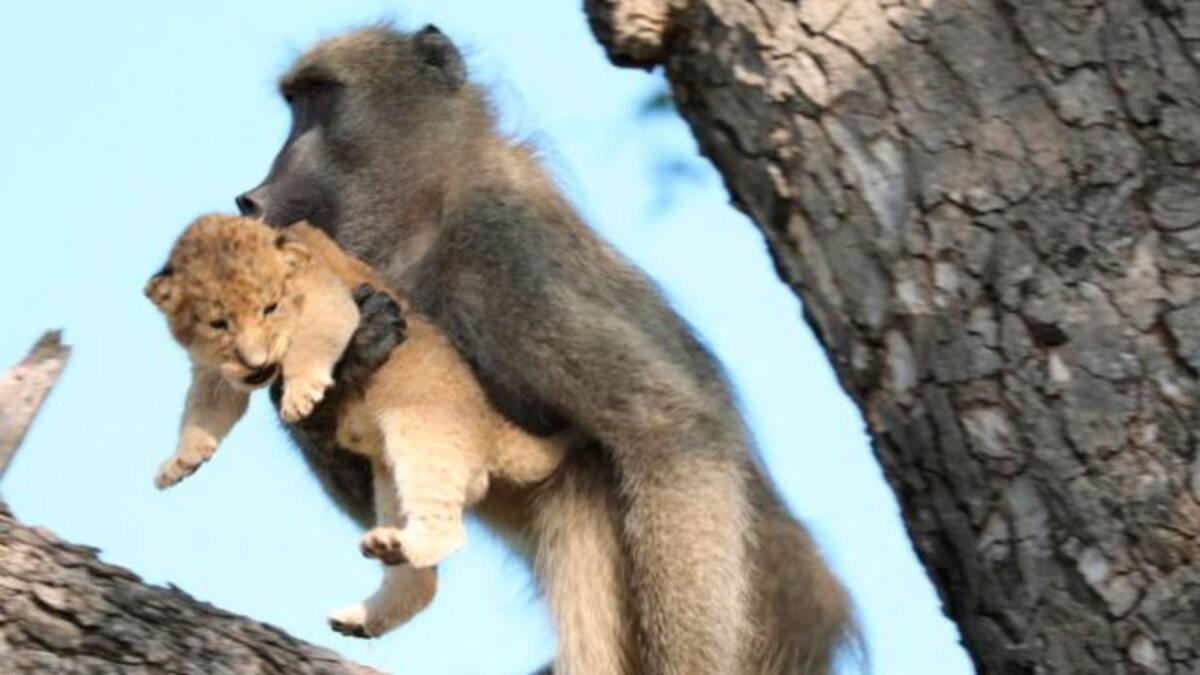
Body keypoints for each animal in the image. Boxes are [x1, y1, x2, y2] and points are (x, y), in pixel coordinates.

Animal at [145, 213, 569, 637]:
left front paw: (301, 394)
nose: (256, 362)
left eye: (270, 308)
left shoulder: (331, 300)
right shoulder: (214, 371)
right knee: (421, 582)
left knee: (448, 530)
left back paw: (398, 549)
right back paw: (363, 611)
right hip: (389, 483)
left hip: (422, 439)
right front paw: (180, 462)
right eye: (218, 323)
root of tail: (490, 423)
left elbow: (312, 342)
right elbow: (204, 409)